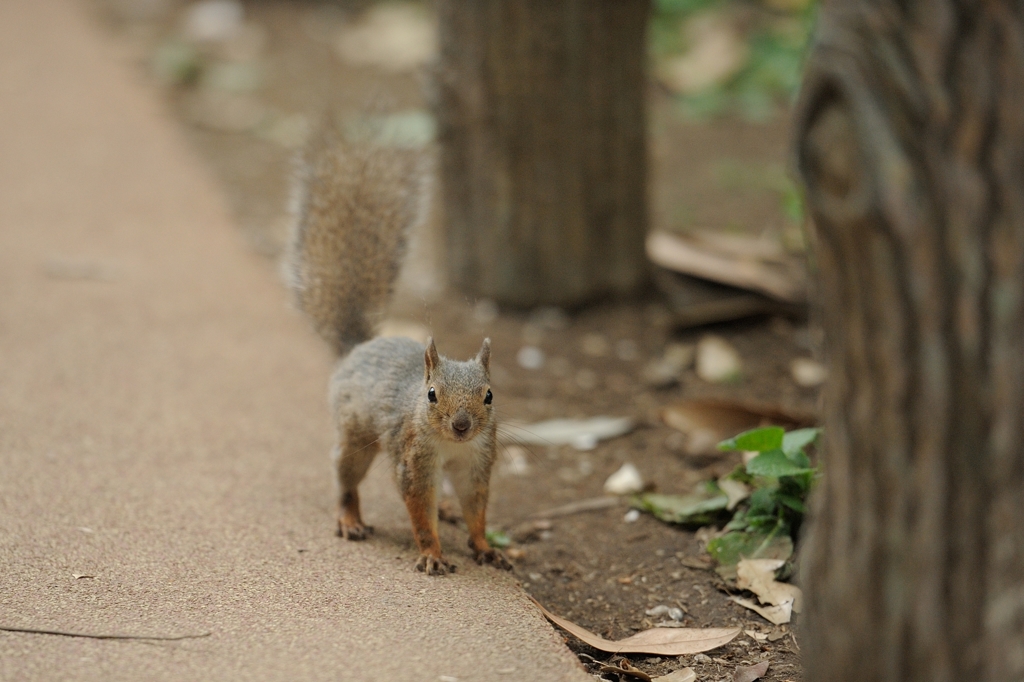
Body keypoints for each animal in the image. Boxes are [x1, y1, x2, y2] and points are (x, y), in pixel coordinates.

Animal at [286, 122, 509, 573]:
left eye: (490, 395)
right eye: (431, 394)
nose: (462, 425)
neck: (452, 446)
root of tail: (359, 347)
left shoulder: (477, 463)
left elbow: (477, 509)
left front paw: (485, 547)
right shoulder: (413, 460)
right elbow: (419, 512)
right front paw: (433, 555)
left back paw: (448, 509)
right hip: (355, 437)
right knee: (345, 477)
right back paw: (350, 519)